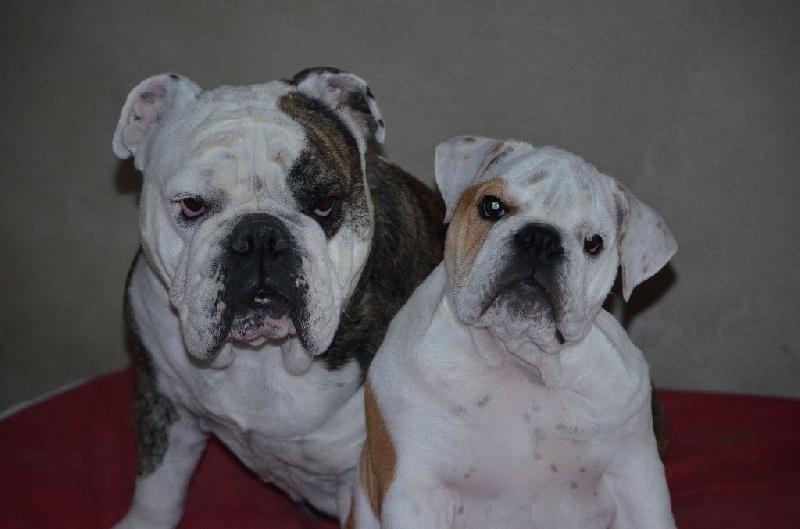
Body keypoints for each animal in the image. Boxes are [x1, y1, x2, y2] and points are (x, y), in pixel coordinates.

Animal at [111, 67, 444, 528]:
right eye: (192, 205)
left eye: (325, 204)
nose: (260, 236)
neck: (262, 355)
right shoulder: (162, 398)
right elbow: (157, 492)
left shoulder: (362, 480)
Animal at [347, 136, 677, 528]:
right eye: (491, 206)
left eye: (594, 242)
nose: (542, 238)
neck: (517, 358)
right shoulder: (417, 491)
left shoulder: (637, 484)